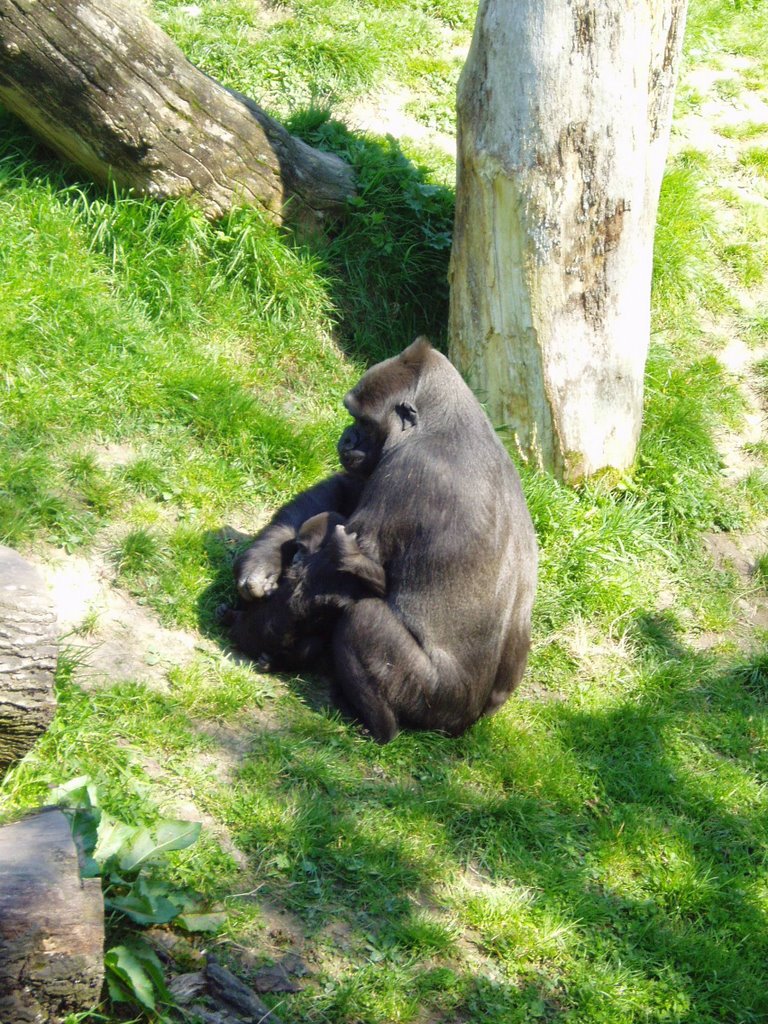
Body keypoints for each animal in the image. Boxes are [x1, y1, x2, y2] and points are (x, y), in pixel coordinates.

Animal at [237, 339, 536, 741]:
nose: (346, 437)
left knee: (362, 618)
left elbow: (321, 583)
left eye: (363, 421)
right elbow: (344, 490)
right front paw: (261, 559)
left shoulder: (409, 471)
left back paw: (374, 722)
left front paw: (242, 629)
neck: (446, 420)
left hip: (433, 702)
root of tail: (466, 726)